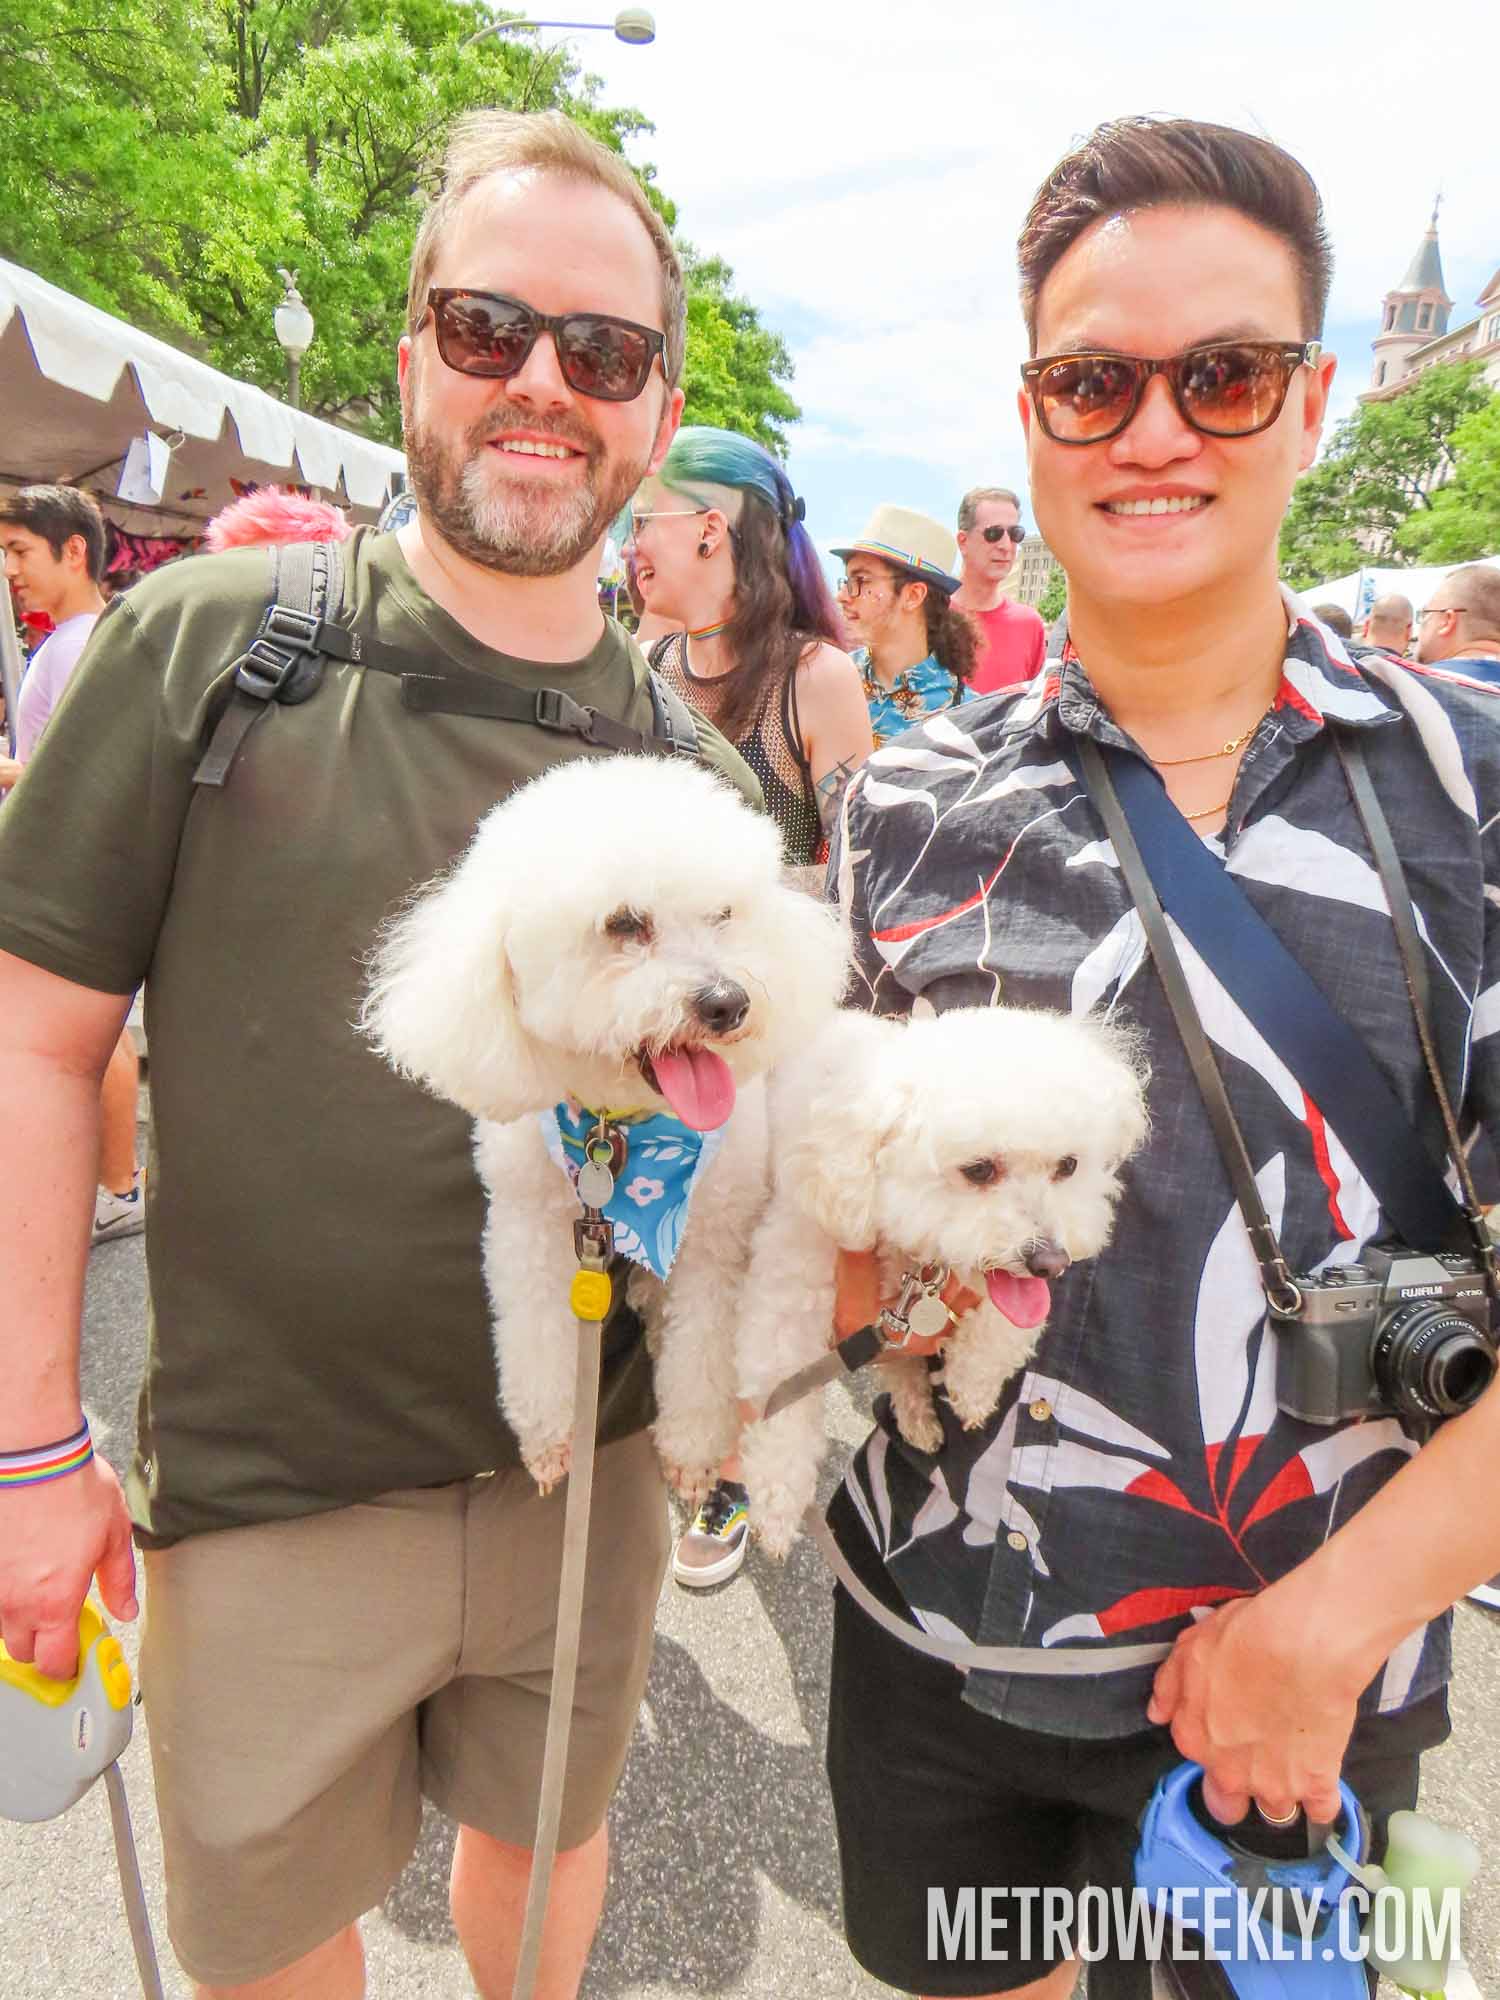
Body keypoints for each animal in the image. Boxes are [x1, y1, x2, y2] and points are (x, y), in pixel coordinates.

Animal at [363, 752, 847, 1501]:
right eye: (624, 923)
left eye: (723, 915)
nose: (728, 1003)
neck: (619, 1128)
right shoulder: (527, 1226)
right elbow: (534, 1343)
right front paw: (548, 1439)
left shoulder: (715, 1242)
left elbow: (700, 1361)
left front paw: (691, 1452)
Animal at [738, 1004, 1150, 1556]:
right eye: (978, 1170)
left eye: (1068, 1166)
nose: (1051, 1262)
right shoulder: (794, 1278)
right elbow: (781, 1400)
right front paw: (779, 1504)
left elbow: (1004, 1328)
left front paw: (971, 1386)